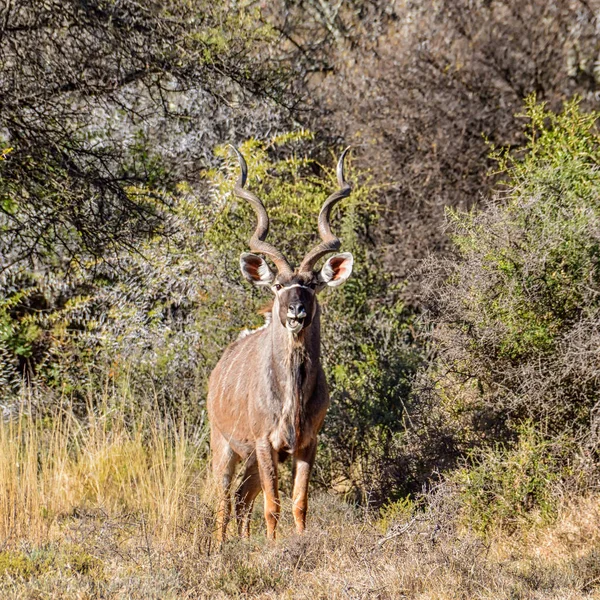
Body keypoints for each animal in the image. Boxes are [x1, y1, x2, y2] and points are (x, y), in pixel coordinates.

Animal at [209, 148, 354, 540]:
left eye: (312, 283)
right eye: (277, 285)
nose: (296, 311)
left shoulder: (306, 443)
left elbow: (299, 503)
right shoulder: (264, 442)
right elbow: (272, 507)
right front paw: (274, 548)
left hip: (253, 459)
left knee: (242, 499)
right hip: (223, 446)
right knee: (224, 500)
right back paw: (220, 547)